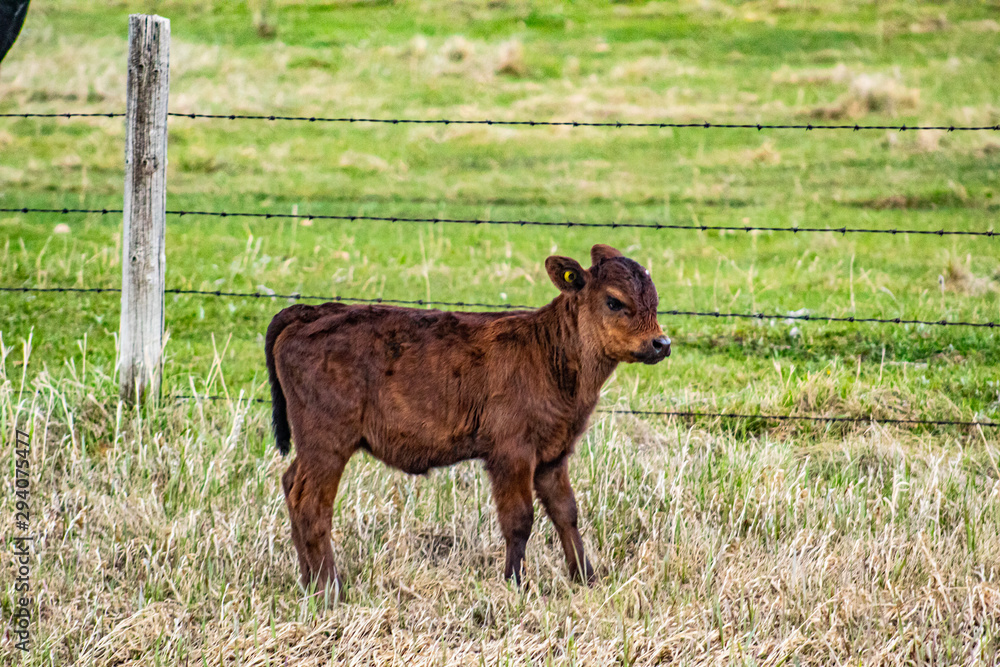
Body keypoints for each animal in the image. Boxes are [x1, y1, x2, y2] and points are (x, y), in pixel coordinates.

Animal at [265, 244, 670, 595]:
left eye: (655, 299)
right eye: (614, 301)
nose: (661, 343)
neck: (548, 351)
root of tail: (312, 311)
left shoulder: (553, 455)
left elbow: (566, 513)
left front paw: (586, 578)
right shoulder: (511, 452)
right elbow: (519, 520)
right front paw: (515, 583)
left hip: (312, 446)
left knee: (290, 484)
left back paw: (308, 581)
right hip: (327, 443)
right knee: (311, 503)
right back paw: (329, 589)